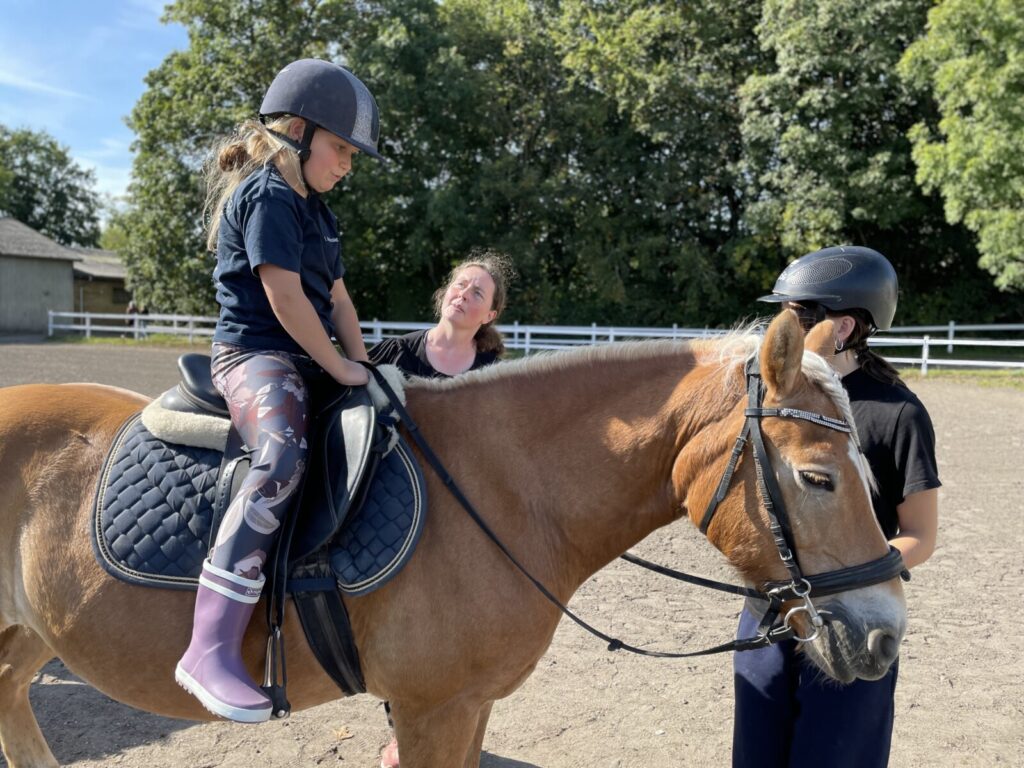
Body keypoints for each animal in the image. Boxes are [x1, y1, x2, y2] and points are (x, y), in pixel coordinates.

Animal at [0, 313, 905, 768]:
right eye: (819, 478)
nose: (885, 636)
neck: (499, 487)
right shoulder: (431, 711)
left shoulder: (467, 709)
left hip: (31, 629)